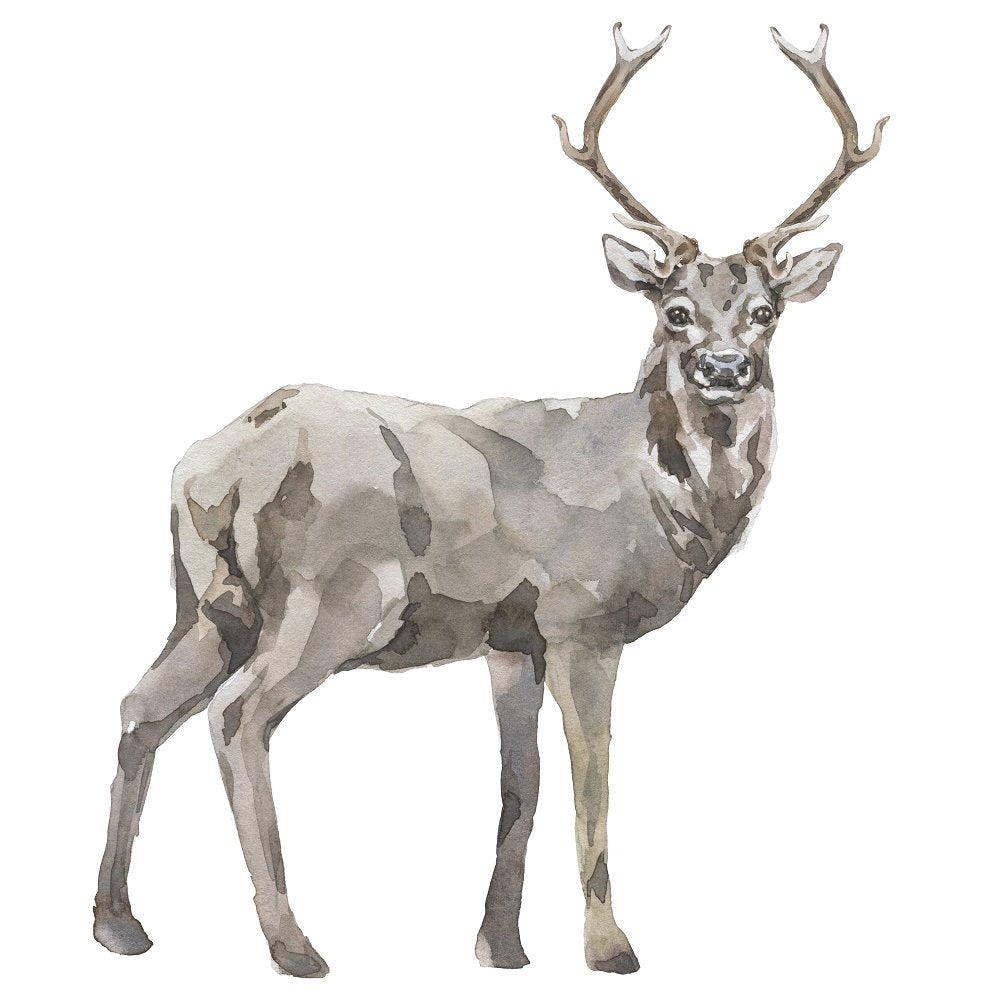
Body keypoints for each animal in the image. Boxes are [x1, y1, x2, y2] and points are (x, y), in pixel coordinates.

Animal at [94, 22, 887, 978]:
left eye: (767, 311)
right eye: (675, 311)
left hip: (208, 598)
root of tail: (219, 464)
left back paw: (119, 924)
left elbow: (521, 785)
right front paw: (609, 948)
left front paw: (500, 945)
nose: (727, 368)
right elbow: (591, 778)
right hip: (334, 593)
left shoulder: (510, 637)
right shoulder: (582, 618)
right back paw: (293, 945)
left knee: (140, 707)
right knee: (238, 716)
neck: (658, 501)